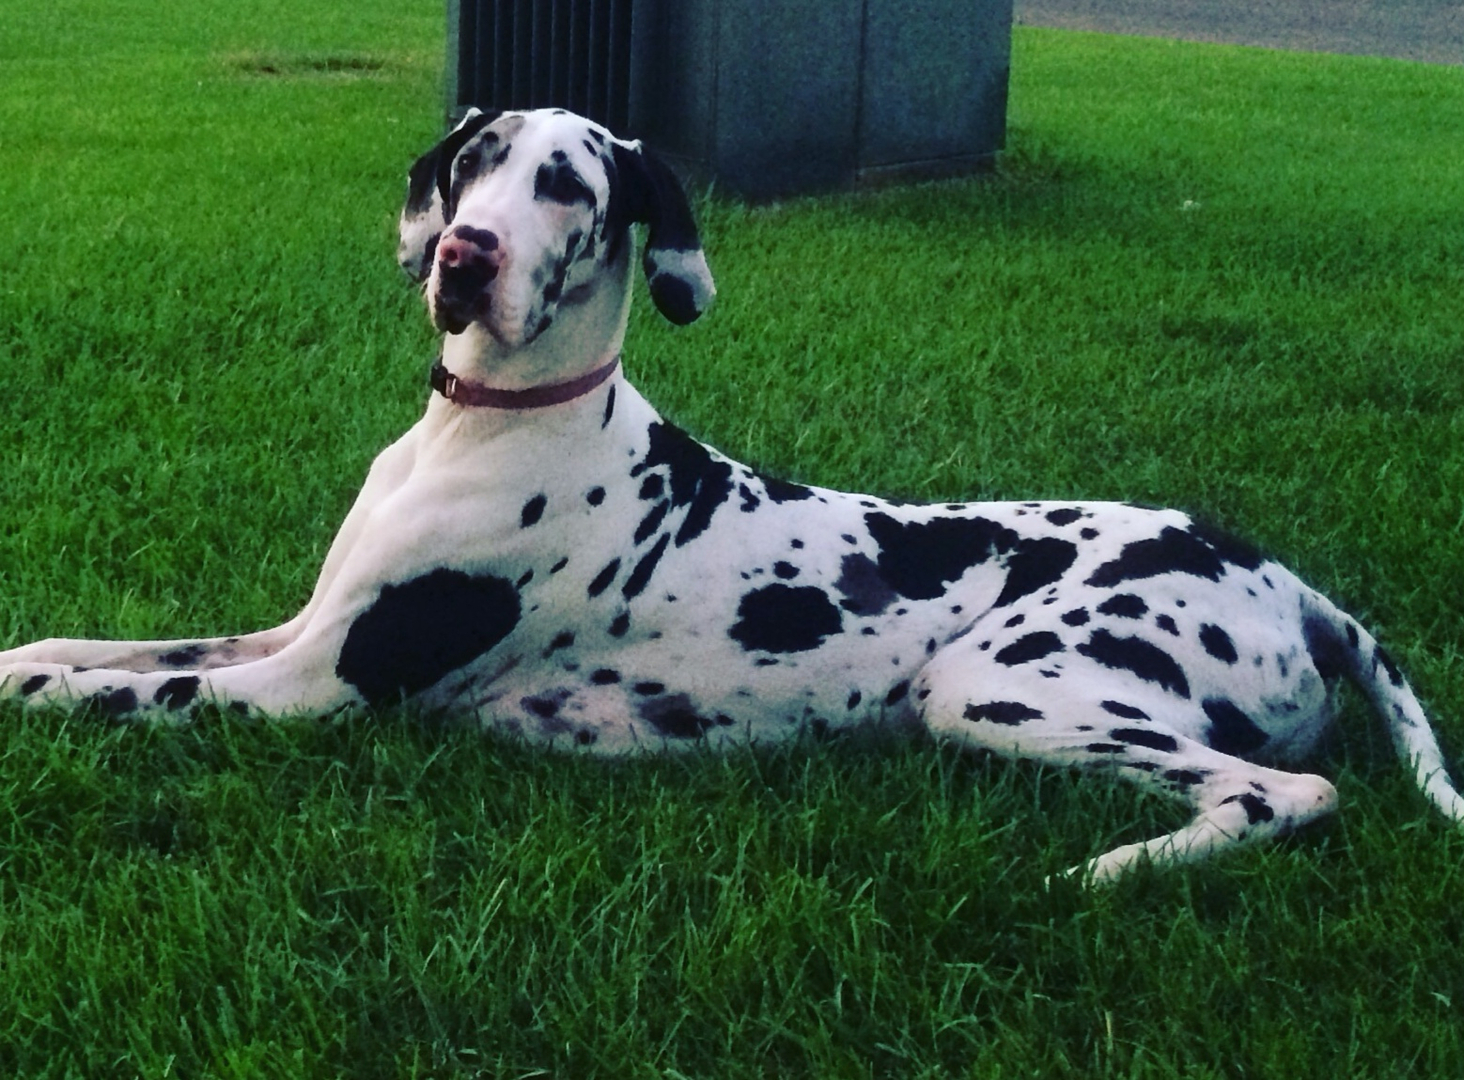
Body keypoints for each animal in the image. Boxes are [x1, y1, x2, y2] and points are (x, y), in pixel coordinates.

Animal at [2, 109, 1464, 878]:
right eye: (475, 164)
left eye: (567, 186)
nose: (465, 256)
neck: (492, 426)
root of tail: (1291, 581)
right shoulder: (298, 634)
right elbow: (101, 648)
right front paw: (23, 655)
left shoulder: (314, 691)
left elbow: (116, 694)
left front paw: (41, 701)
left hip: (1002, 683)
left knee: (1289, 793)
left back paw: (1118, 870)